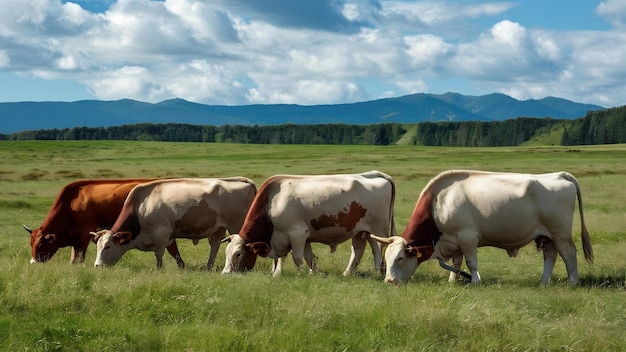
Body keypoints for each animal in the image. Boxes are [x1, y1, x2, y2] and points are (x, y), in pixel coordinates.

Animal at [22, 179, 185, 264]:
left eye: (41, 245)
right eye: (31, 244)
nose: (33, 263)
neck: (72, 203)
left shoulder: (85, 235)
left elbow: (80, 258)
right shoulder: (75, 240)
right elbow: (73, 259)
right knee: (173, 250)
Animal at [89, 176, 254, 270]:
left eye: (108, 246)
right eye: (97, 246)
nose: (97, 265)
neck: (141, 206)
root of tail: (240, 180)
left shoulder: (161, 234)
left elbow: (159, 255)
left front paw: (159, 270)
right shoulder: (168, 237)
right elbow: (174, 253)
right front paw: (182, 267)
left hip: (236, 225)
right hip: (218, 228)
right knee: (215, 245)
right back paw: (209, 267)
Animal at [221, 170, 394, 276]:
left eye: (238, 254)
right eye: (226, 252)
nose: (225, 273)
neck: (271, 202)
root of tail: (374, 174)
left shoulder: (297, 234)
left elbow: (297, 257)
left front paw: (302, 273)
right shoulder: (298, 237)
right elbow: (306, 256)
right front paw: (312, 273)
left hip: (377, 230)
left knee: (377, 248)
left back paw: (377, 273)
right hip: (359, 231)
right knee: (357, 250)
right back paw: (347, 273)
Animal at [372, 170, 592, 286]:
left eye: (400, 258)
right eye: (386, 258)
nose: (389, 280)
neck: (439, 202)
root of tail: (560, 175)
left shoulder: (467, 237)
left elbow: (471, 262)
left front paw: (475, 281)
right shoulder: (455, 239)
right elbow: (457, 262)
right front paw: (453, 281)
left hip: (561, 234)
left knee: (569, 254)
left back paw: (573, 282)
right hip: (548, 236)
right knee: (551, 256)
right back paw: (543, 282)